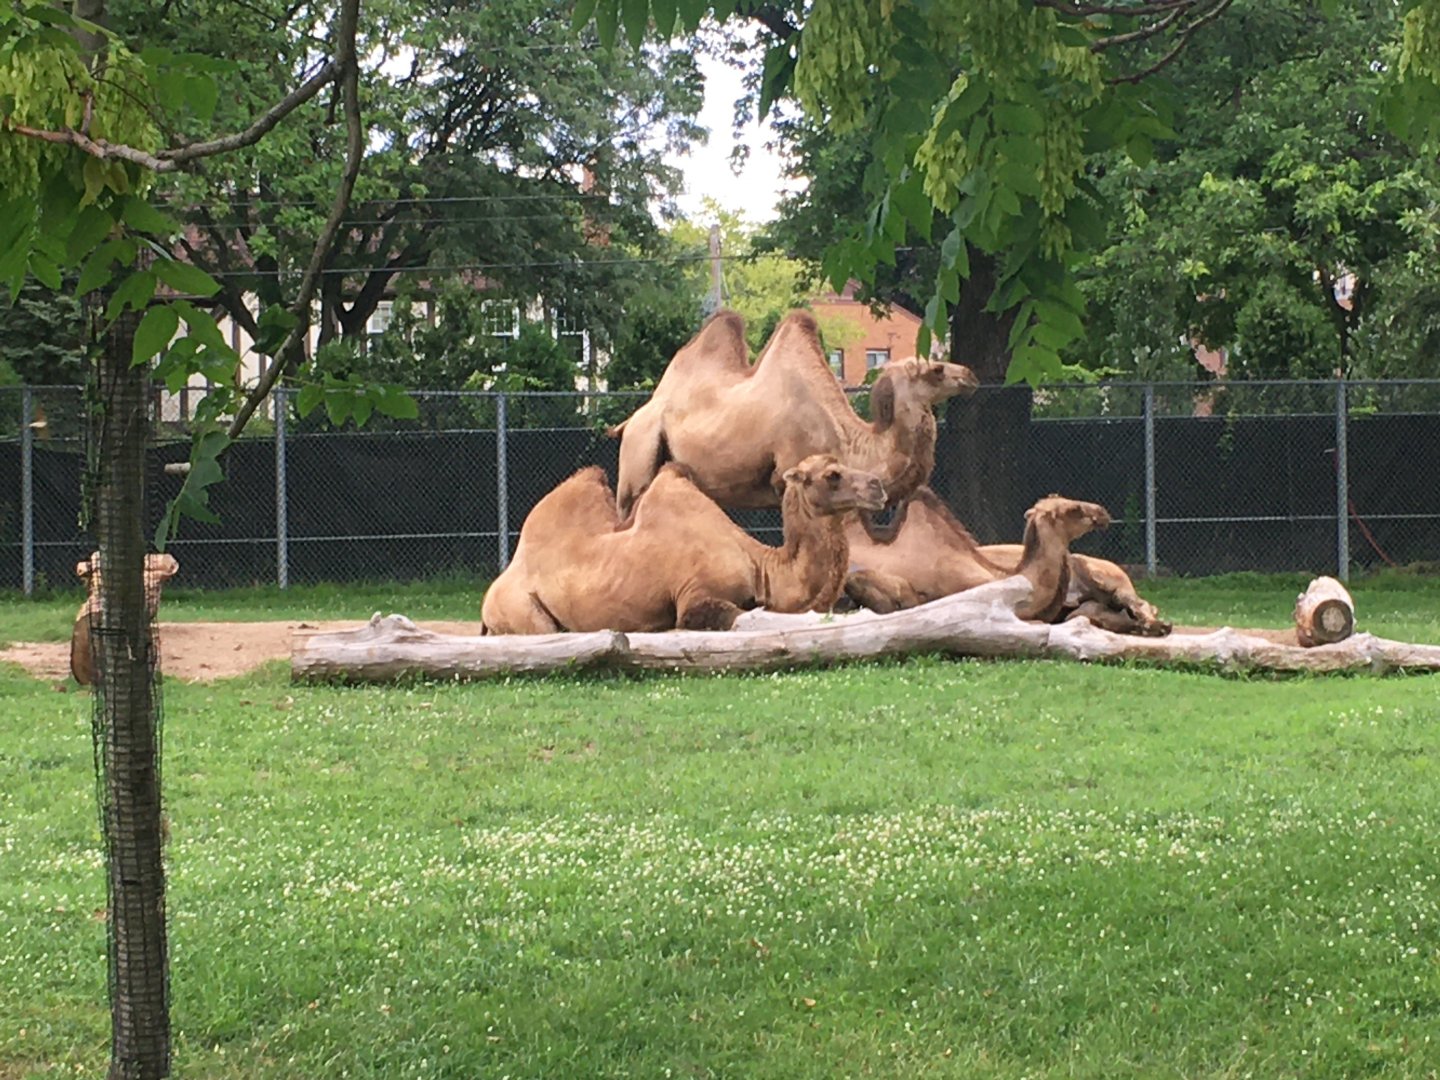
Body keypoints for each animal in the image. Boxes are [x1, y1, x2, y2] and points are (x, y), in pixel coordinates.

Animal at [480, 454, 886, 634]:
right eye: (832, 475)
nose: (878, 486)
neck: (761, 567)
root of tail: (492, 592)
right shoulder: (695, 599)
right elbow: (750, 616)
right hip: (521, 609)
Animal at [608, 308, 978, 517]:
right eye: (937, 370)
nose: (970, 376)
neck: (846, 437)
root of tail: (632, 420)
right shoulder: (790, 477)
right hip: (636, 460)